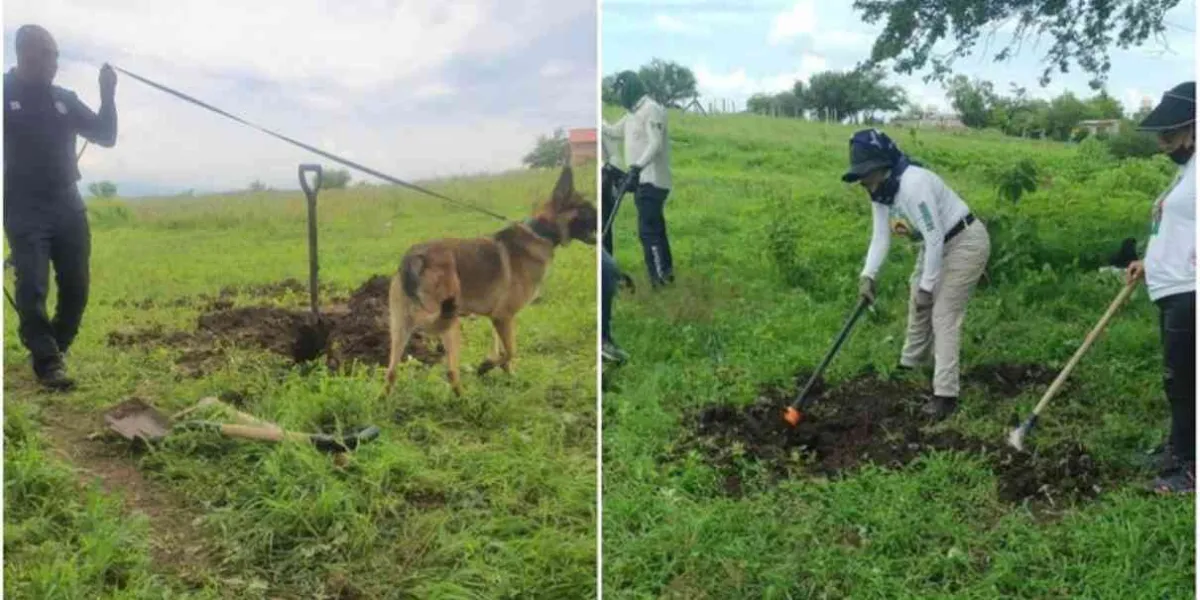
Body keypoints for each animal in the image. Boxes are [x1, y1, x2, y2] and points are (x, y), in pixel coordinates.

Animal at [386, 166, 597, 396]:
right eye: (587, 209)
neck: (541, 233)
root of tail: (414, 255)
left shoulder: (498, 318)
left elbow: (503, 351)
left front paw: (509, 376)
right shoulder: (503, 316)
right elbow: (511, 351)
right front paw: (486, 366)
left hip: (401, 327)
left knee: (392, 373)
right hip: (446, 320)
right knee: (450, 370)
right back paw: (465, 399)